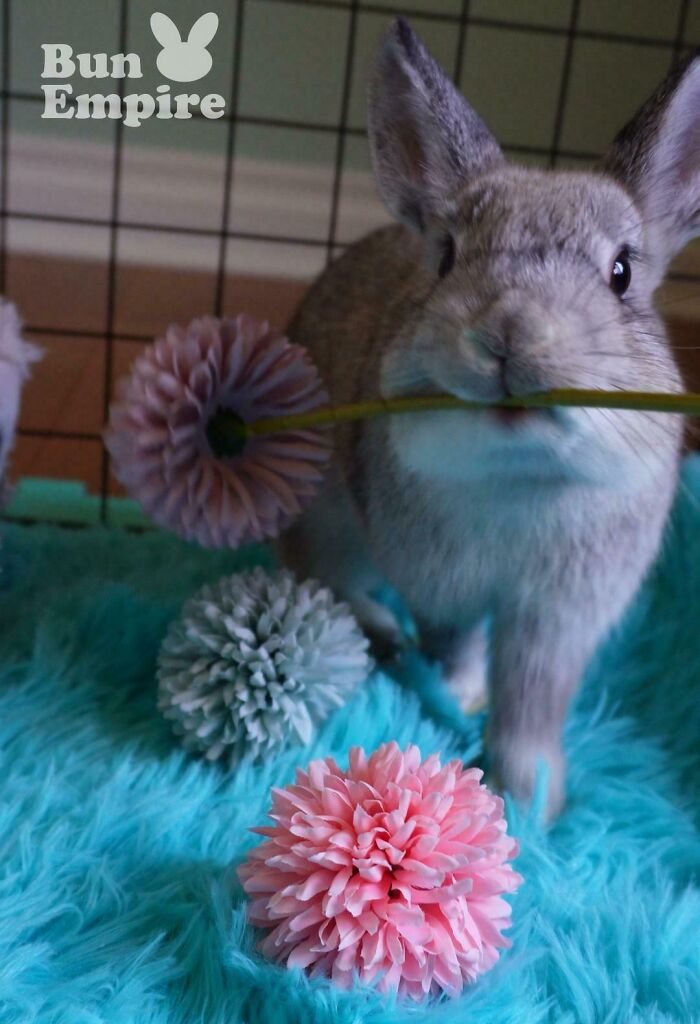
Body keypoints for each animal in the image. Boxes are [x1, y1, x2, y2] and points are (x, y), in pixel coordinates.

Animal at [280, 18, 700, 821]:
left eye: (622, 273)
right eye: (446, 256)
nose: (510, 334)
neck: (521, 473)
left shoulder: (559, 620)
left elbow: (533, 699)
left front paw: (531, 797)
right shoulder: (440, 583)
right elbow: (458, 645)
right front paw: (464, 701)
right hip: (330, 512)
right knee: (319, 571)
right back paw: (380, 631)